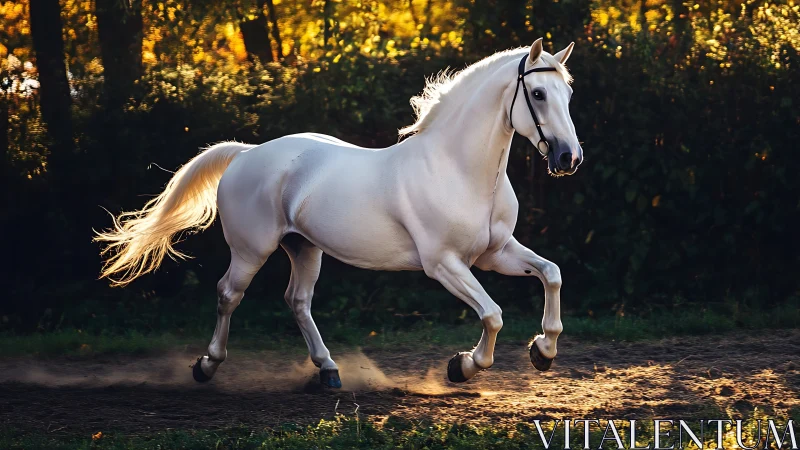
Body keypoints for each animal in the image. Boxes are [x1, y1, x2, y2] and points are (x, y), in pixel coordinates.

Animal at [95, 38, 583, 388]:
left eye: (569, 93)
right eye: (538, 93)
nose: (568, 158)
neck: (458, 170)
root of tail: (248, 153)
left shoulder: (495, 253)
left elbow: (552, 274)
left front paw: (543, 351)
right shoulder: (444, 264)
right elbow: (493, 314)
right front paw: (462, 366)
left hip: (304, 248)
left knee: (297, 301)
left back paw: (328, 371)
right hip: (252, 250)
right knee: (228, 294)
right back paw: (207, 366)